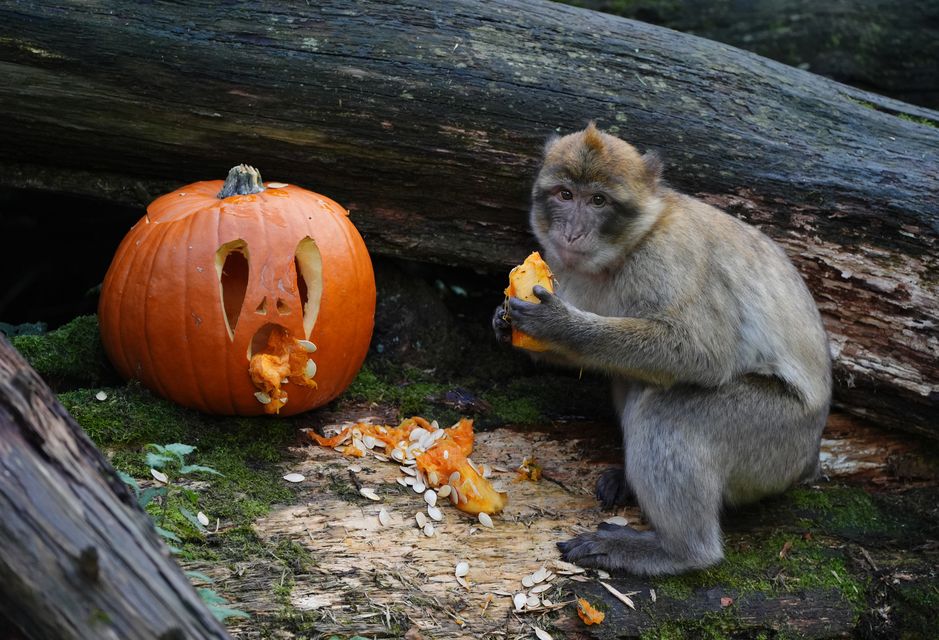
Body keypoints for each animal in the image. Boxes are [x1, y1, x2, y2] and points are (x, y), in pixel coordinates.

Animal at [492, 122, 828, 572]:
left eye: (598, 200)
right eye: (565, 194)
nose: (571, 232)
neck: (630, 246)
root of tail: (809, 458)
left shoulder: (668, 258)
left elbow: (704, 352)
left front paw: (561, 325)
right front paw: (501, 321)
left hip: (778, 438)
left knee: (670, 413)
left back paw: (677, 550)